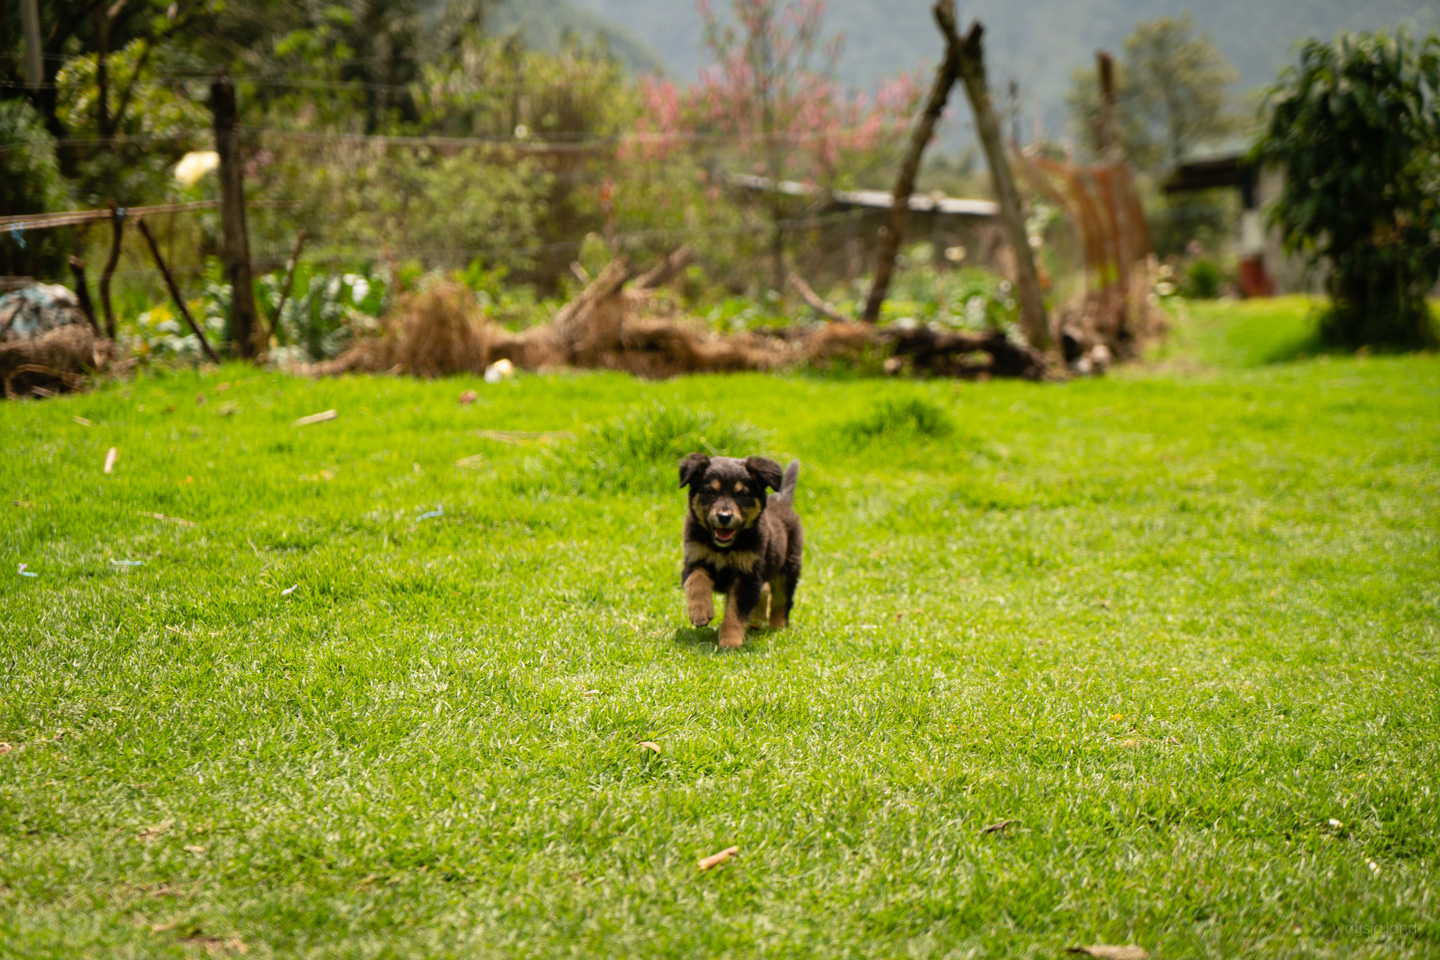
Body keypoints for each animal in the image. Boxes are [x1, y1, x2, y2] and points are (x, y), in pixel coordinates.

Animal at [673, 454, 800, 650]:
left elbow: (735, 611)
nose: (724, 517)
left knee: (781, 599)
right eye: (711, 492)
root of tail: (782, 500)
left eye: (741, 494)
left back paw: (777, 627)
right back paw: (755, 621)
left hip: (788, 568)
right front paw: (700, 613)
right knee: (764, 590)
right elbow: (696, 582)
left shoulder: (747, 575)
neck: (723, 548)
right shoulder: (694, 559)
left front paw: (730, 641)